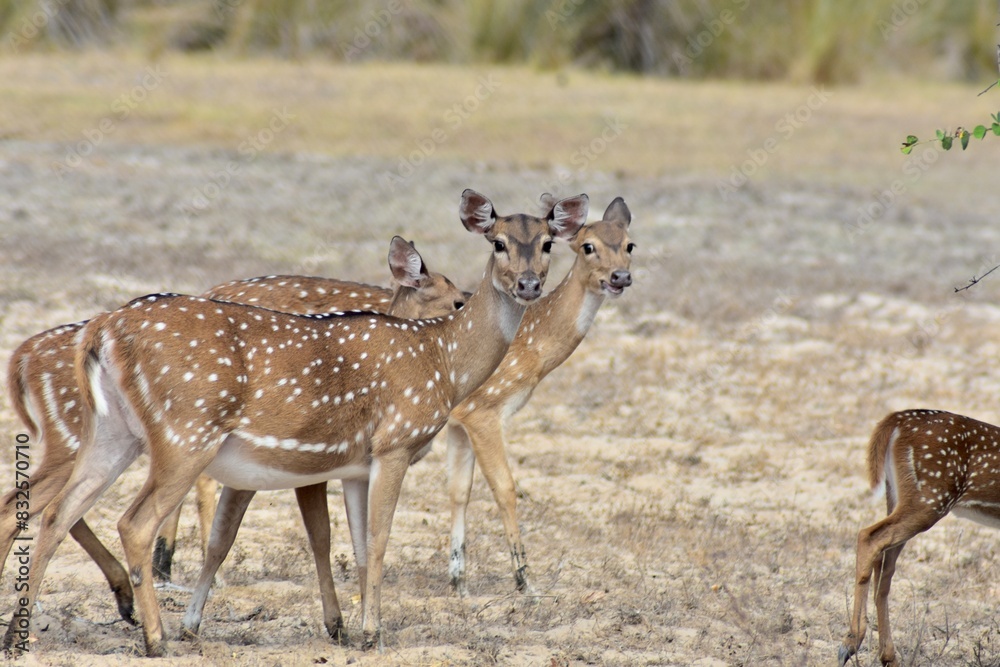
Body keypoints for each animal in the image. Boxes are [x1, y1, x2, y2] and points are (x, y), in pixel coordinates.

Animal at [0, 236, 464, 626]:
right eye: (457, 300)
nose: (468, 303)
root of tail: (20, 359)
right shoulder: (303, 463)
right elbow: (317, 536)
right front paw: (338, 626)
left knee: (48, 506)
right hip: (87, 439)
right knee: (48, 506)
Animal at [445, 196, 634, 596]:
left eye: (630, 245)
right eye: (587, 246)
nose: (620, 277)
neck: (533, 349)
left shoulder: (458, 422)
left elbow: (459, 491)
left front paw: (459, 583)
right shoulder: (483, 407)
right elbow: (505, 487)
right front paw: (525, 581)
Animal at [840, 409, 1000, 667]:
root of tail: (897, 419)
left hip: (898, 495)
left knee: (884, 564)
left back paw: (888, 657)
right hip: (930, 498)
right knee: (869, 537)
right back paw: (850, 644)